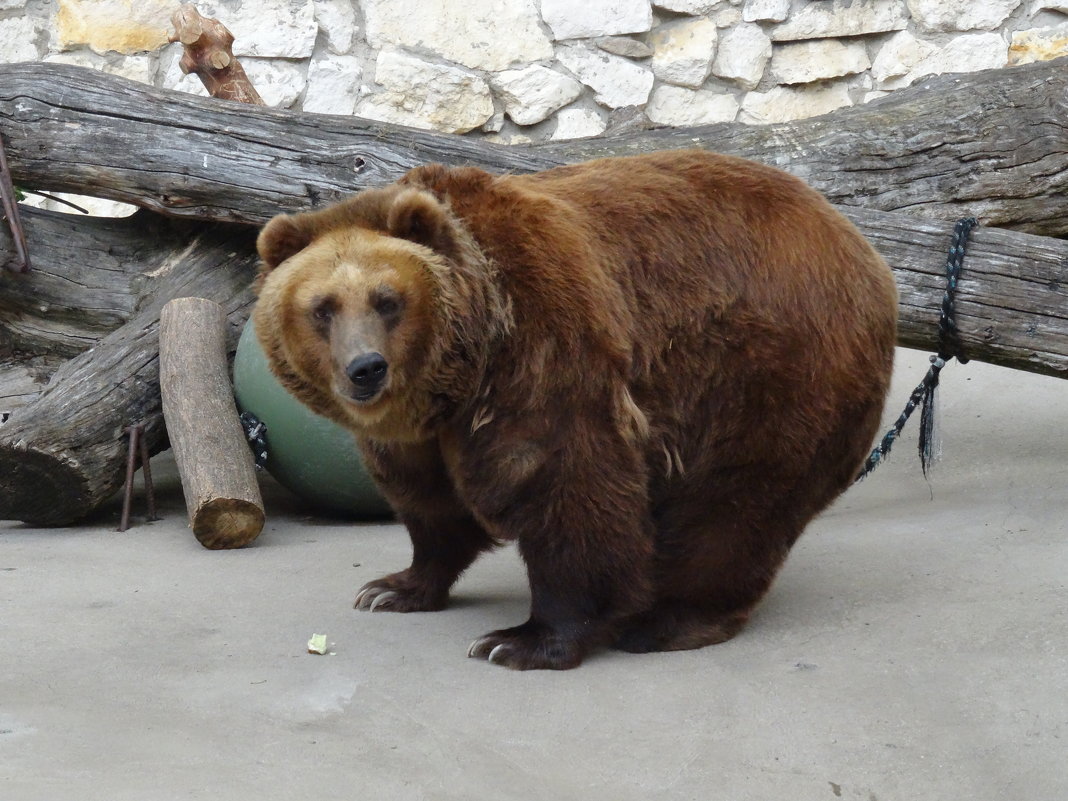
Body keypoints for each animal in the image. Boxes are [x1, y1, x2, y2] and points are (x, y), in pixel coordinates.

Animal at [254, 149, 897, 670]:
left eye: (387, 300)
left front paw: (521, 641)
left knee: (733, 501)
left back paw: (666, 620)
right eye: (322, 307)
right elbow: (428, 502)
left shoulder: (542, 344)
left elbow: (564, 484)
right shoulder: (420, 434)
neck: (458, 373)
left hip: (769, 366)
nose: (366, 368)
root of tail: (858, 244)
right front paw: (394, 588)